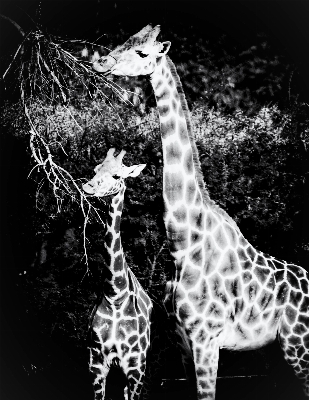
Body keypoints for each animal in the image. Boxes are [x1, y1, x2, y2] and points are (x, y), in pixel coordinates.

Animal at [83, 148, 153, 398]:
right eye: (96, 169)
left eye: (116, 176)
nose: (88, 187)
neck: (115, 294)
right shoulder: (96, 362)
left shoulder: (135, 366)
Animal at [92, 25, 308, 400]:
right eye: (124, 41)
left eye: (143, 53)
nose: (102, 62)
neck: (183, 243)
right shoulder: (181, 340)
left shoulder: (207, 339)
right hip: (281, 348)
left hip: (299, 344)